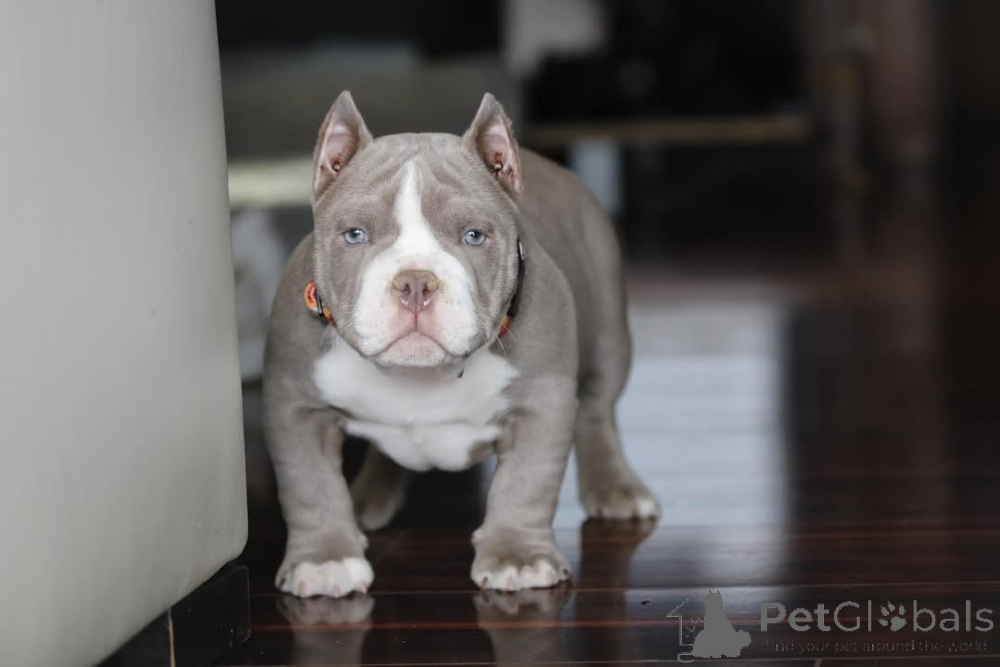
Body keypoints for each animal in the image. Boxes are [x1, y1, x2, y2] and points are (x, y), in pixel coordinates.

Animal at [263, 91, 657, 597]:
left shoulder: (541, 404)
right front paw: (327, 559)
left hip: (609, 328)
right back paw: (368, 499)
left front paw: (518, 558)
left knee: (597, 409)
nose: (415, 281)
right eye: (355, 235)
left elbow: (525, 482)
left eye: (474, 236)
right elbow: (309, 485)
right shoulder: (295, 406)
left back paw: (615, 488)